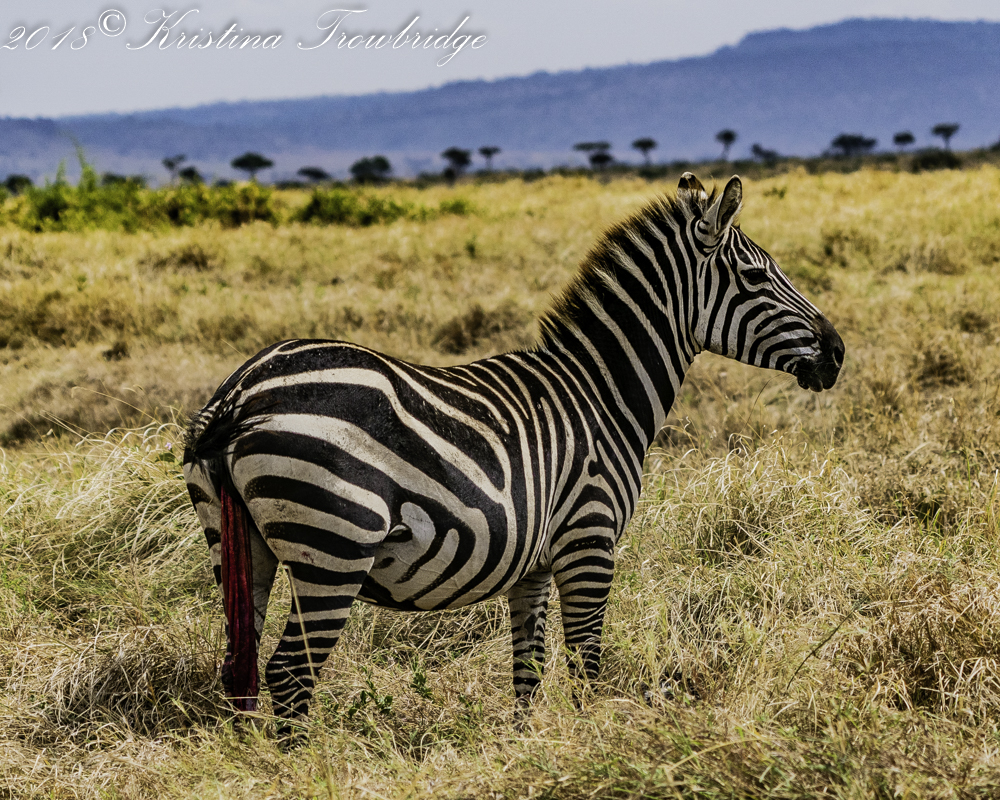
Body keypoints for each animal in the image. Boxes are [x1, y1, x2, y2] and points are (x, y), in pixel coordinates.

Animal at [183, 172, 844, 733]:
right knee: (290, 673)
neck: (600, 393)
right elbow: (585, 665)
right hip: (334, 544)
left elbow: (529, 668)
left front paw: (528, 753)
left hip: (239, 544)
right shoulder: (588, 538)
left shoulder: (535, 564)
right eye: (756, 278)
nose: (838, 353)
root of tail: (241, 391)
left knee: (241, 668)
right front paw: (590, 745)